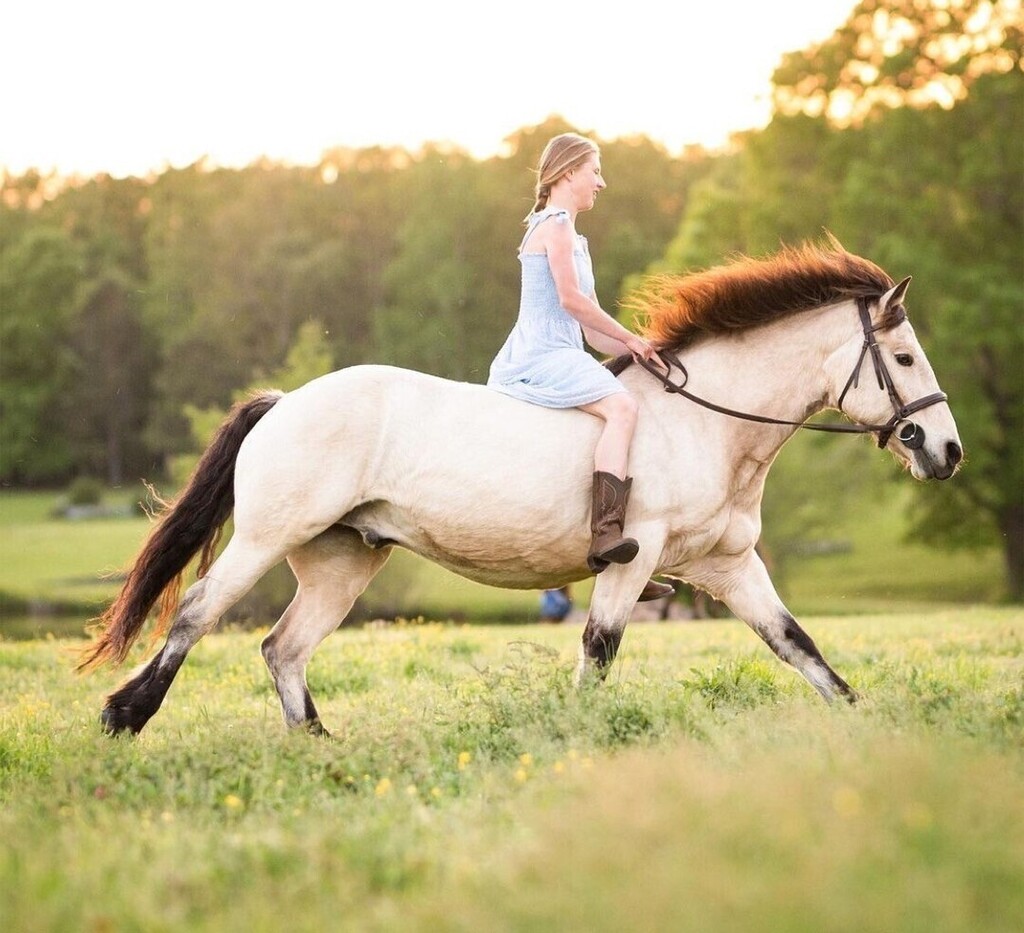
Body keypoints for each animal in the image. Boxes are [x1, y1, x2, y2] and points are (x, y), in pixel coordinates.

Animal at [81, 240, 963, 736]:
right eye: (906, 358)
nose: (947, 451)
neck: (706, 422)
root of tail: (287, 398)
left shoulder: (730, 565)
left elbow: (798, 645)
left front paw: (868, 721)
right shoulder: (633, 562)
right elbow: (599, 650)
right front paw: (575, 734)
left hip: (342, 561)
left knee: (283, 648)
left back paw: (318, 747)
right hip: (268, 536)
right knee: (199, 613)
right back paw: (125, 715)